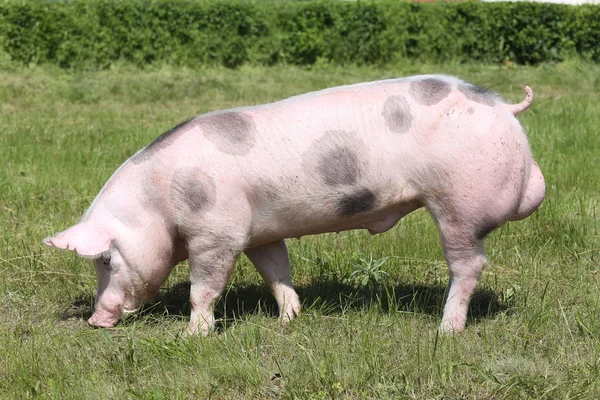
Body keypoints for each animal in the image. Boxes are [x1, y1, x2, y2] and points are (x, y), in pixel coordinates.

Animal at [44, 74, 548, 334]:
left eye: (106, 259)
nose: (95, 319)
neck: (159, 200)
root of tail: (504, 108)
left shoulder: (217, 232)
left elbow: (202, 288)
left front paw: (194, 335)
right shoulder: (258, 231)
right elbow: (276, 271)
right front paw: (290, 318)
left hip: (458, 202)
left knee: (469, 265)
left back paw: (446, 330)